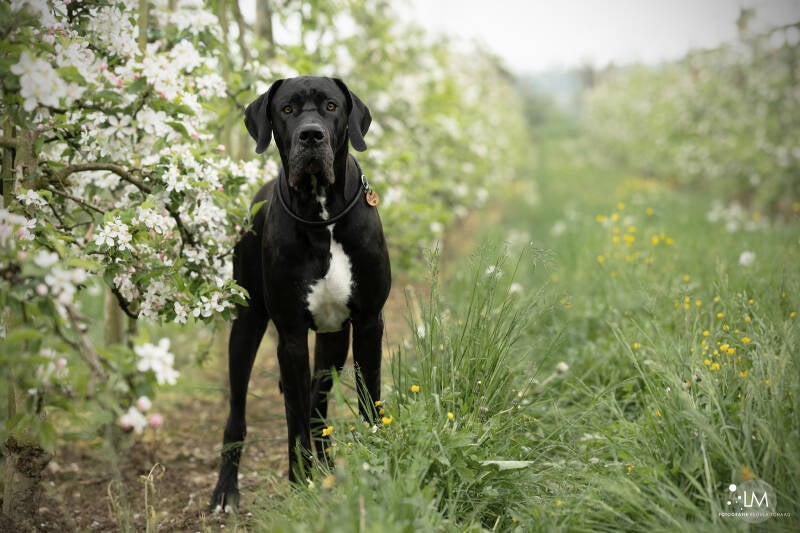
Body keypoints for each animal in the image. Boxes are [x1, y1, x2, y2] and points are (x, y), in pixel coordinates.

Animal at [210, 77, 391, 512]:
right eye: (287, 110)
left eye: (331, 106)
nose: (311, 136)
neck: (321, 214)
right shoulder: (290, 337)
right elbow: (294, 420)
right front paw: (300, 483)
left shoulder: (368, 323)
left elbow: (368, 396)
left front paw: (374, 460)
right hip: (247, 325)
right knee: (238, 412)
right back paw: (226, 490)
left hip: (334, 339)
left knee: (317, 402)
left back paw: (328, 465)